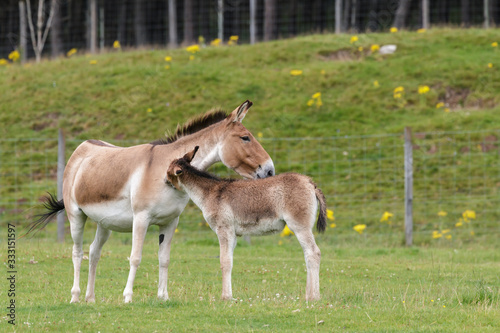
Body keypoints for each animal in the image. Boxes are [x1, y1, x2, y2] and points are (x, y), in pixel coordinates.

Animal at [31, 100, 274, 302]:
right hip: (76, 216)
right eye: (245, 137)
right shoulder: (141, 218)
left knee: (93, 252)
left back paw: (90, 298)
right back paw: (75, 296)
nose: (270, 170)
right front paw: (128, 297)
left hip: (104, 223)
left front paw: (163, 297)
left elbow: (164, 258)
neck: (163, 171)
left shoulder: (170, 222)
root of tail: (82, 147)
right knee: (77, 252)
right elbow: (135, 257)